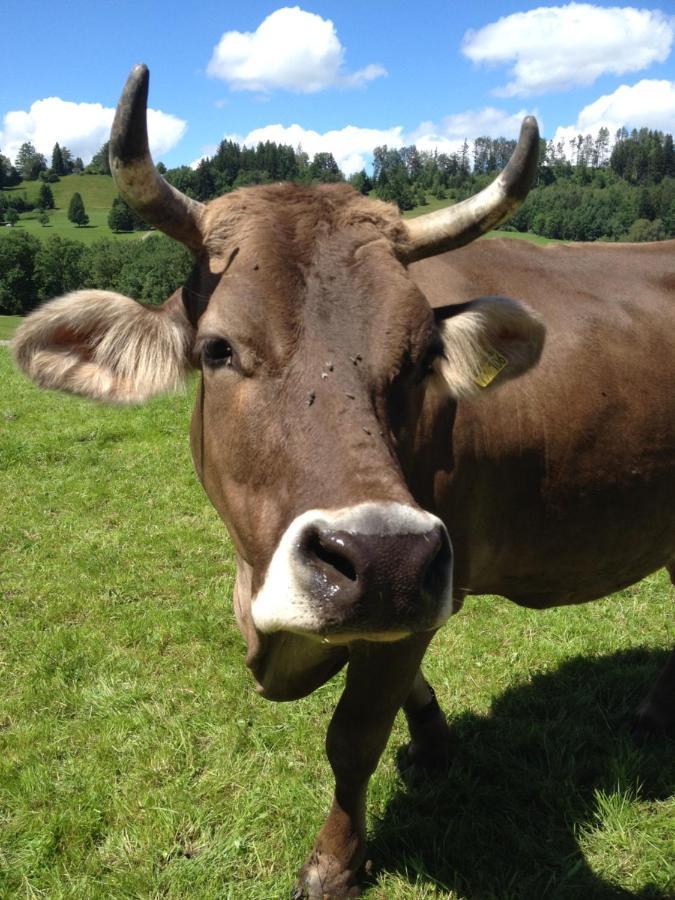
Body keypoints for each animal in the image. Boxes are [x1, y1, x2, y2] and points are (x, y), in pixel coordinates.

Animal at [11, 65, 675, 900]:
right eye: (218, 348)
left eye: (423, 355)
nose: (385, 558)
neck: (254, 596)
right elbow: (405, 694)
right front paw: (432, 745)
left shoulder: (424, 592)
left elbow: (353, 735)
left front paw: (334, 861)